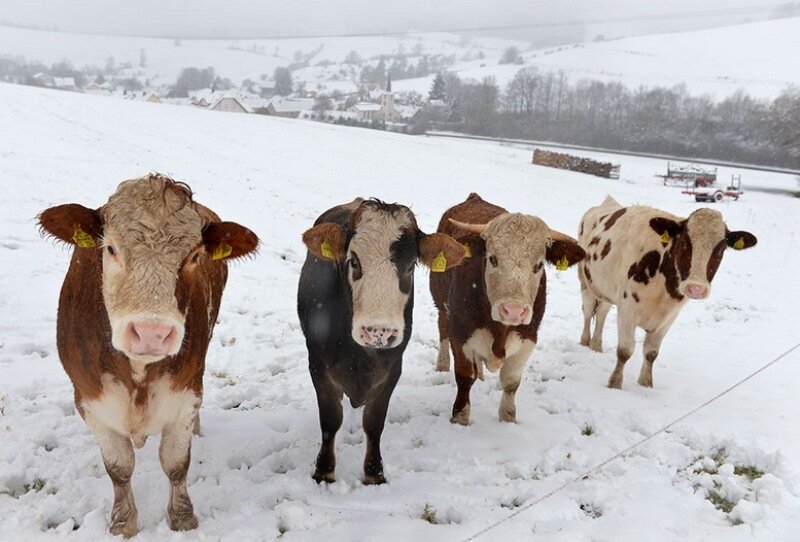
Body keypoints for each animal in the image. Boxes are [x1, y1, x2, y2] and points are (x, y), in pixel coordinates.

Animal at [38, 175, 256, 540]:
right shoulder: (90, 400)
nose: (151, 332)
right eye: (110, 248)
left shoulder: (185, 393)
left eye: (195, 256)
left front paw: (183, 519)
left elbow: (175, 462)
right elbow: (119, 467)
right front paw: (123, 523)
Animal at [298, 199, 462, 484]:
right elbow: (331, 419)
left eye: (410, 266)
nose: (378, 332)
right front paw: (324, 470)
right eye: (353, 261)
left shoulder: (392, 368)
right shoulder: (317, 364)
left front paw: (374, 472)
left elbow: (374, 423)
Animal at [428, 193, 584, 428]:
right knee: (442, 329)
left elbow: (511, 382)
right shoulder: (460, 334)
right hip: (440, 303)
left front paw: (507, 418)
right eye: (492, 259)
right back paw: (442, 363)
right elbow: (464, 376)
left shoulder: (528, 338)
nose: (513, 311)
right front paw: (460, 417)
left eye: (539, 265)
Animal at [580, 196, 752, 392]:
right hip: (585, 281)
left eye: (721, 250)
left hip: (605, 288)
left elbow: (651, 353)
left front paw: (646, 384)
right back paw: (585, 341)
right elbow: (625, 350)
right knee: (588, 311)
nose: (696, 288)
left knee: (602, 313)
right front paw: (615, 384)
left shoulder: (669, 317)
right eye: (683, 242)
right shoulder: (627, 310)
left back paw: (596, 345)